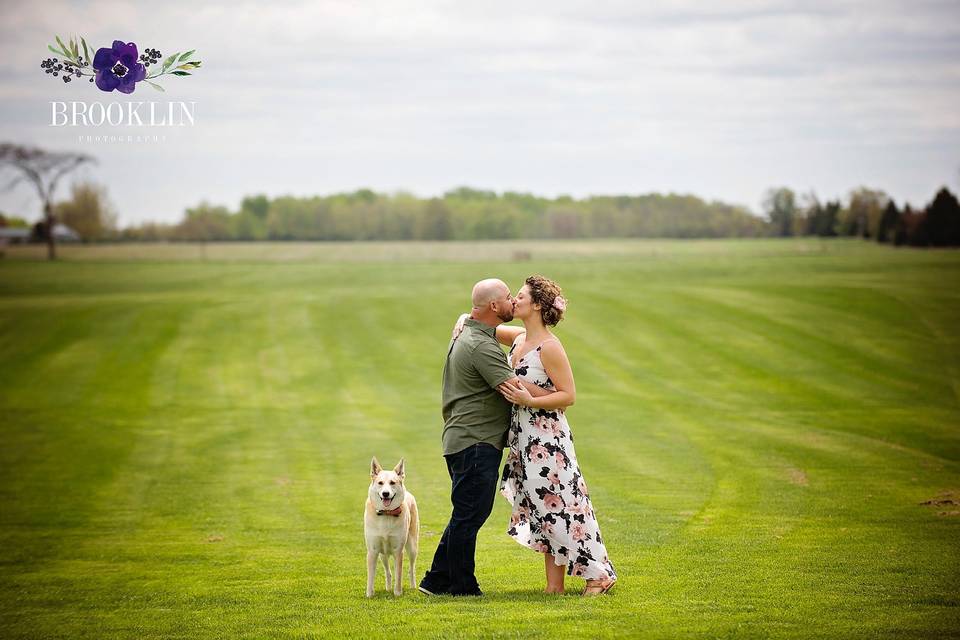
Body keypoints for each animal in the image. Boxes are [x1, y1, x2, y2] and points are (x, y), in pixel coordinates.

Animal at [366, 456, 418, 596]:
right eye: (380, 483)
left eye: (392, 483)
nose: (385, 493)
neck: (386, 513)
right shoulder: (373, 550)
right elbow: (371, 576)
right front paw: (369, 594)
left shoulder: (398, 550)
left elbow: (398, 574)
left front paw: (397, 593)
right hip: (382, 554)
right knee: (388, 572)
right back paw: (388, 587)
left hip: (412, 547)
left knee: (411, 569)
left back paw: (413, 586)